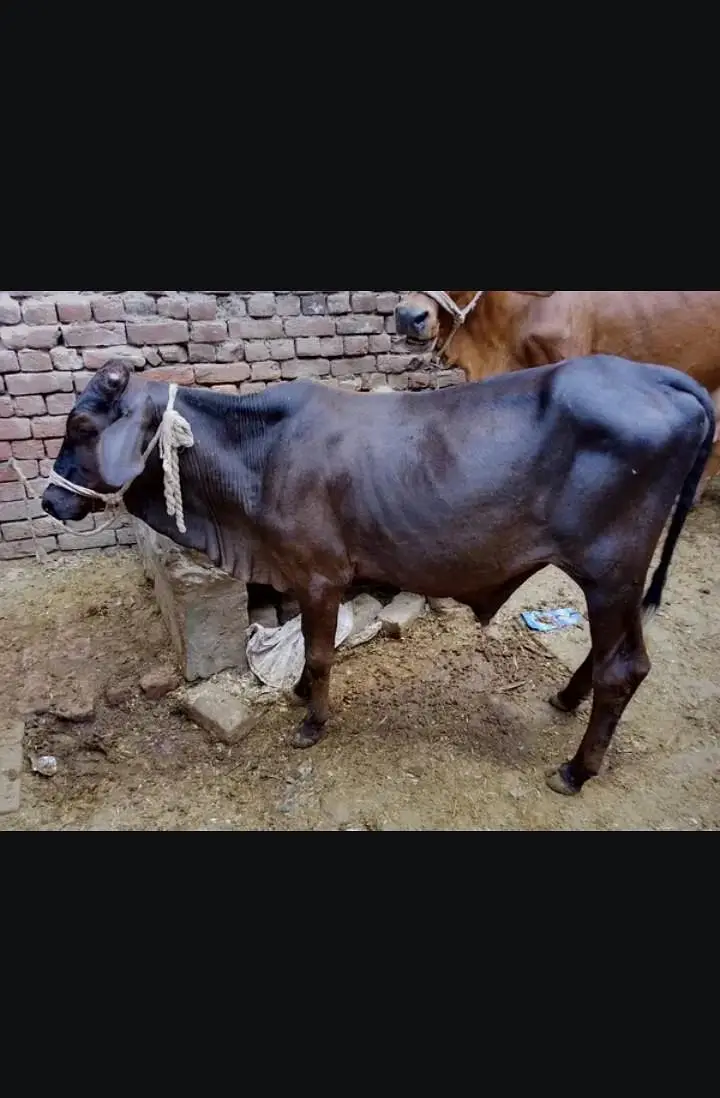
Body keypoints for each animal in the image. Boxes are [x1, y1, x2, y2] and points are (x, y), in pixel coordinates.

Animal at [42, 358, 714, 797]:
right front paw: (298, 696)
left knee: (622, 669)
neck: (258, 453)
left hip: (610, 569)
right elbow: (308, 651)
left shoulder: (319, 575)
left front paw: (312, 721)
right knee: (621, 659)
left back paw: (576, 770)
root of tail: (660, 376)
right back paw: (567, 700)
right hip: (618, 579)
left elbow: (319, 653)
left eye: (83, 427)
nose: (49, 500)